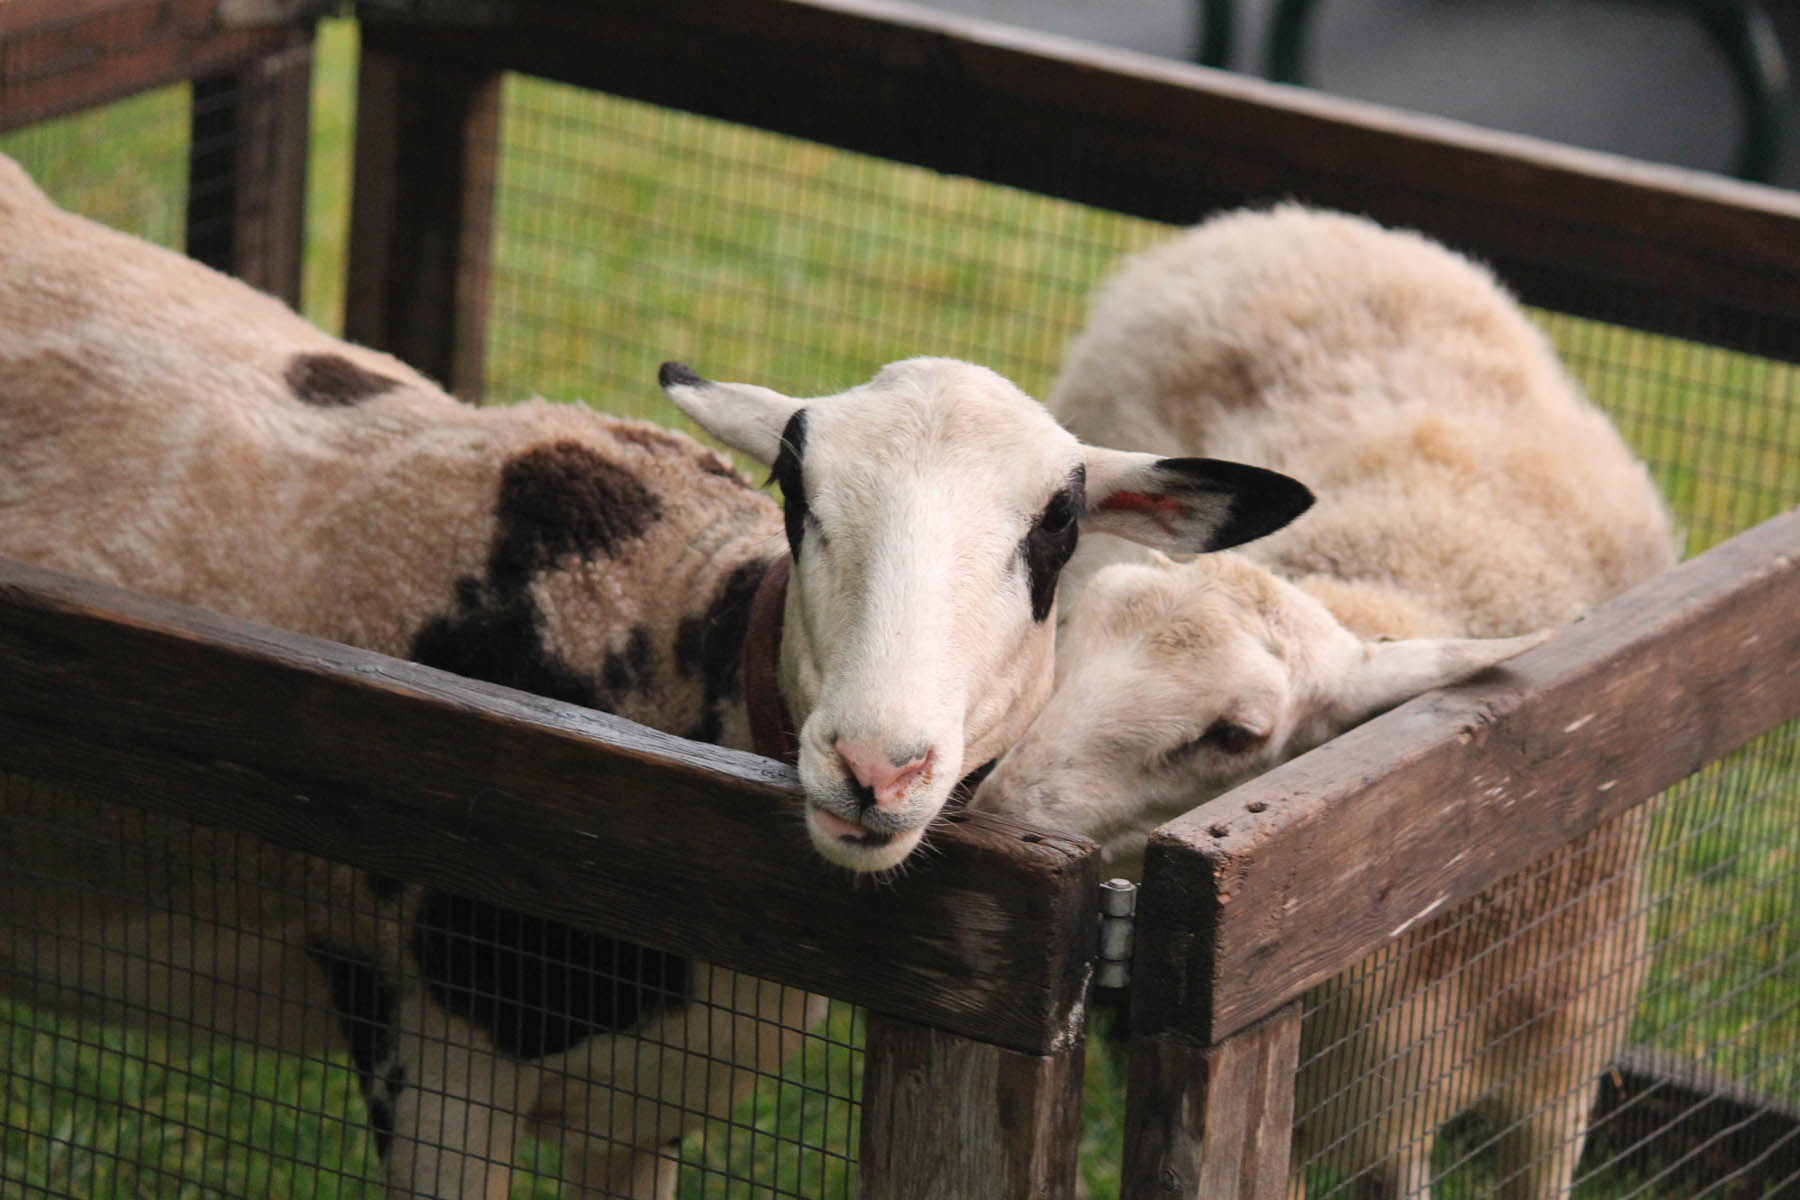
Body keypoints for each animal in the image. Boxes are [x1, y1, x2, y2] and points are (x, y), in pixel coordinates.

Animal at [0, 152, 1310, 1200]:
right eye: (795, 490)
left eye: (1057, 529)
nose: (876, 768)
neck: (667, 627)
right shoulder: (429, 1051)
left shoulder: (641, 1109)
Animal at [964, 208, 1677, 1200]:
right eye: (1064, 643)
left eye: (1236, 735)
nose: (995, 817)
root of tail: (1290, 218)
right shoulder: (1329, 1098)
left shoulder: (1560, 1074)